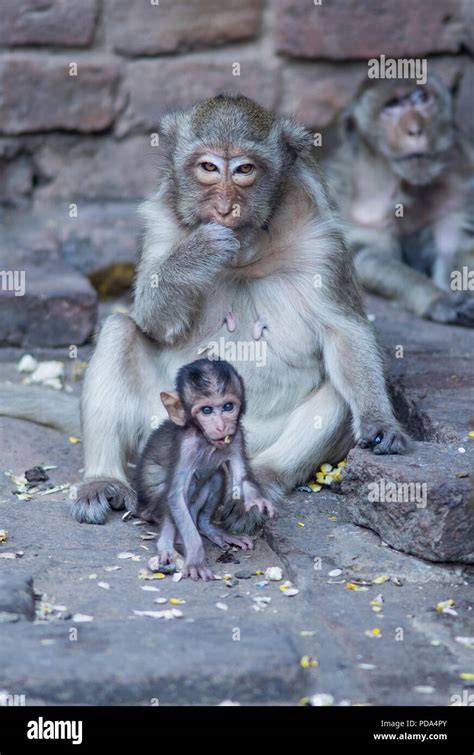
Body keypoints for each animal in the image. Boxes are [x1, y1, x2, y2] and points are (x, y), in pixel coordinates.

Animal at [0, 93, 408, 524]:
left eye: (245, 169)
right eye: (209, 168)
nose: (226, 207)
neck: (247, 254)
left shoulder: (322, 240)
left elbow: (345, 331)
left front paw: (381, 420)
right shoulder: (161, 225)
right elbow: (153, 322)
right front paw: (196, 254)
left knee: (337, 391)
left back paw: (257, 484)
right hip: (162, 421)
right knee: (119, 330)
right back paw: (102, 479)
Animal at [135, 358, 276, 580]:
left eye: (228, 406)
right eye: (206, 410)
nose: (221, 426)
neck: (205, 440)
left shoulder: (236, 436)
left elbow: (240, 478)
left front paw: (256, 500)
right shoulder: (186, 446)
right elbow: (176, 496)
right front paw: (195, 560)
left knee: (216, 476)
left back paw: (208, 528)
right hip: (150, 505)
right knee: (180, 493)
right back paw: (168, 544)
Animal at [328, 72, 474, 326]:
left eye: (421, 97)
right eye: (391, 105)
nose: (415, 130)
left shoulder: (461, 175)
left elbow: (454, 247)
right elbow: (367, 254)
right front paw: (439, 299)